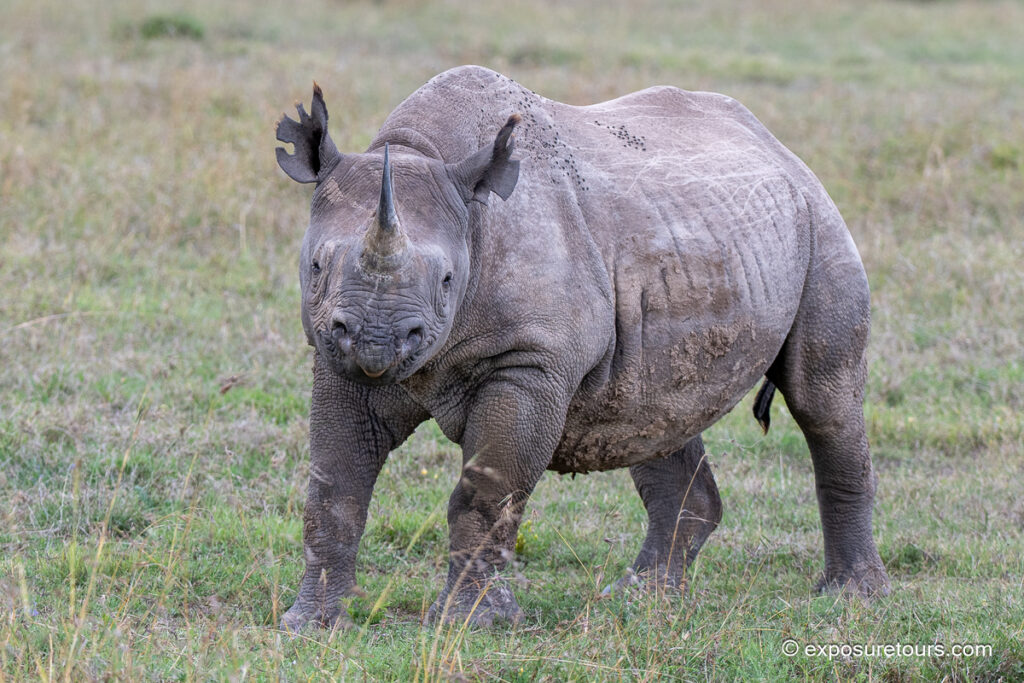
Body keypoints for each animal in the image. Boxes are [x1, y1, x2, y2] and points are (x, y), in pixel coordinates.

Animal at [273, 65, 891, 630]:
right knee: (654, 412)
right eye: (317, 266)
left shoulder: (531, 362)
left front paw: (468, 624)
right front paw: (313, 623)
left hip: (820, 221)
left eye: (448, 280)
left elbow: (485, 491)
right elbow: (334, 485)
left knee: (822, 402)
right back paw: (640, 600)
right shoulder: (336, 355)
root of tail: (780, 147)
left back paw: (851, 599)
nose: (377, 339)